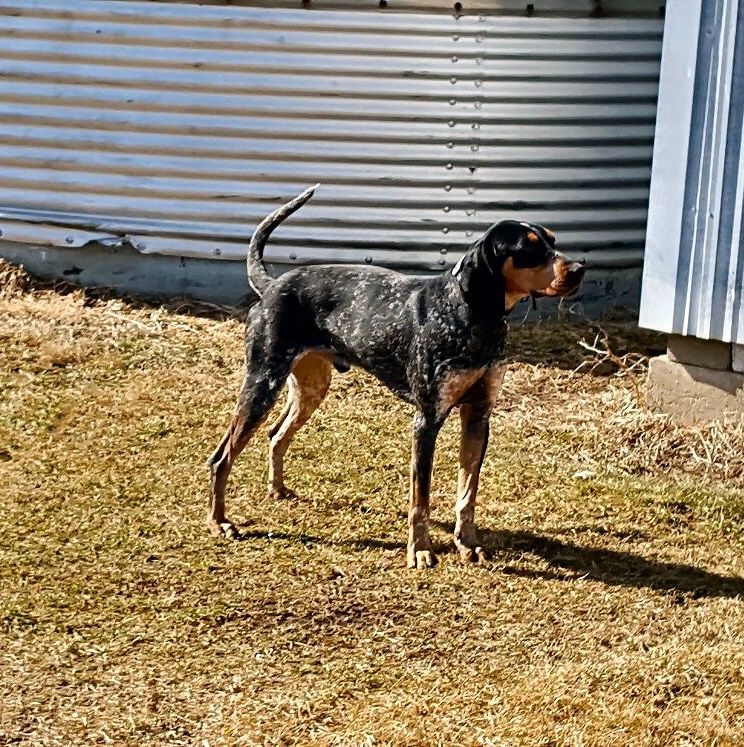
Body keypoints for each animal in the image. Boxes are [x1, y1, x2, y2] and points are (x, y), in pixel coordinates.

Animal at [206, 186, 584, 568]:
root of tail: (272, 285)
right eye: (528, 248)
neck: (471, 314)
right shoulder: (427, 421)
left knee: (276, 434)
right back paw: (219, 521)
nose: (580, 268)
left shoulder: (478, 416)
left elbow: (467, 494)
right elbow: (421, 499)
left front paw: (467, 544)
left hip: (311, 387)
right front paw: (420, 551)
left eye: (553, 240)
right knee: (221, 457)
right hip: (261, 385)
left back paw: (278, 489)